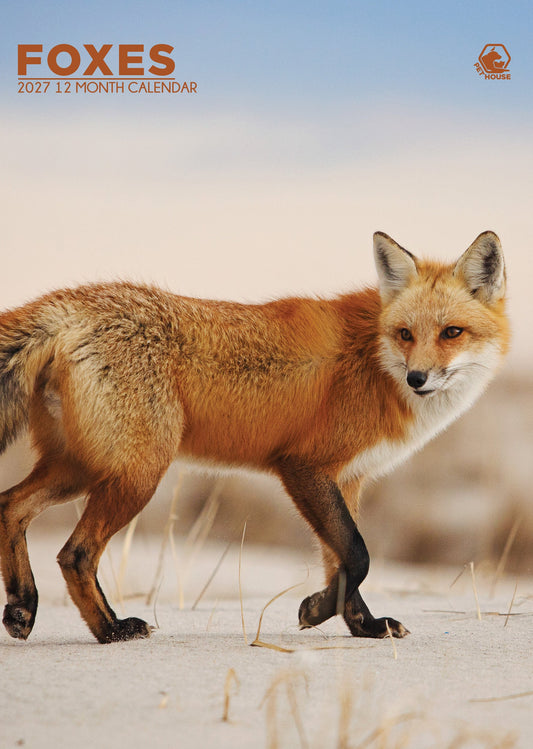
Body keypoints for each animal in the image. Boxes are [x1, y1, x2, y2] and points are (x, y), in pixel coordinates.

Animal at [0, 231, 509, 643]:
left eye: (452, 332)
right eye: (405, 334)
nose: (417, 378)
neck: (372, 359)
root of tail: (70, 303)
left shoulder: (347, 479)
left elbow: (342, 560)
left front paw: (363, 627)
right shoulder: (304, 467)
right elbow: (358, 555)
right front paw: (316, 611)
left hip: (80, 467)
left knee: (10, 506)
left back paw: (23, 606)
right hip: (134, 474)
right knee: (74, 554)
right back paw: (111, 629)